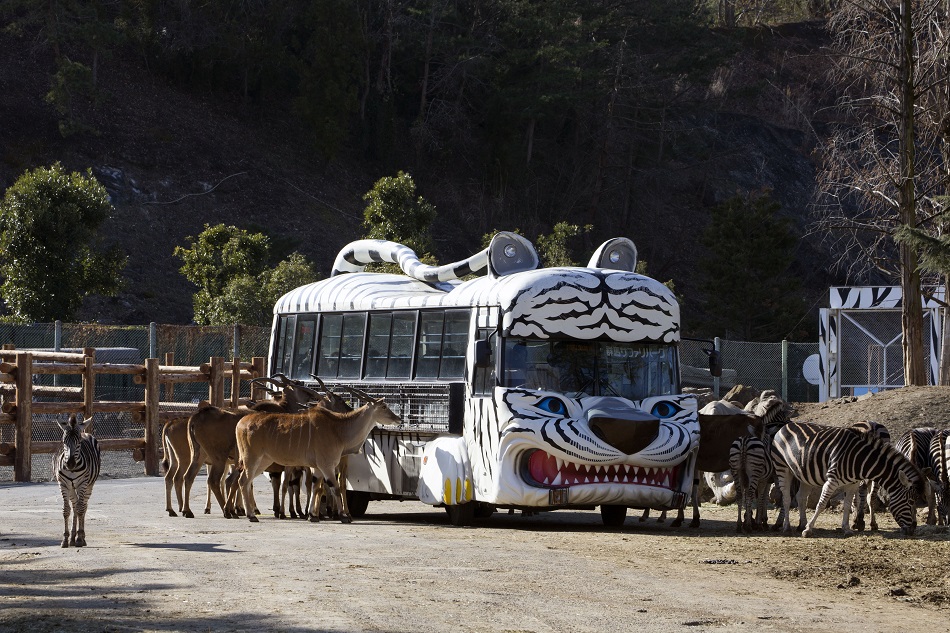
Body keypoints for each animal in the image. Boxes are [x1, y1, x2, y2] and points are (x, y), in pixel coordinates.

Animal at [54, 412, 102, 544]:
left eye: (79, 441)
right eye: (64, 441)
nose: (70, 464)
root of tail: (84, 431)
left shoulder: (83, 484)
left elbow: (81, 509)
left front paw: (80, 538)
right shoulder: (63, 484)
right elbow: (66, 510)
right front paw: (65, 538)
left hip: (89, 486)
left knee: (83, 506)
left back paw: (81, 536)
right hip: (71, 487)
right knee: (75, 505)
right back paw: (72, 537)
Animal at [240, 396, 404, 524]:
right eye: (384, 406)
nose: (399, 419)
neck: (338, 430)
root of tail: (241, 423)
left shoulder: (318, 468)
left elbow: (315, 487)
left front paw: (312, 515)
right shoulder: (327, 465)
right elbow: (335, 487)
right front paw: (343, 516)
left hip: (263, 461)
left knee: (247, 481)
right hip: (252, 459)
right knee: (243, 481)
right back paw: (251, 515)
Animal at [772, 422, 924, 536]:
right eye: (910, 502)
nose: (912, 530)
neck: (860, 459)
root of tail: (786, 425)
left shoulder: (853, 484)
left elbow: (847, 505)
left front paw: (846, 528)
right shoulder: (831, 481)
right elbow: (821, 504)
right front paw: (808, 529)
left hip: (804, 474)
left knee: (801, 497)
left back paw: (801, 524)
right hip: (782, 467)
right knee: (786, 498)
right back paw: (787, 527)